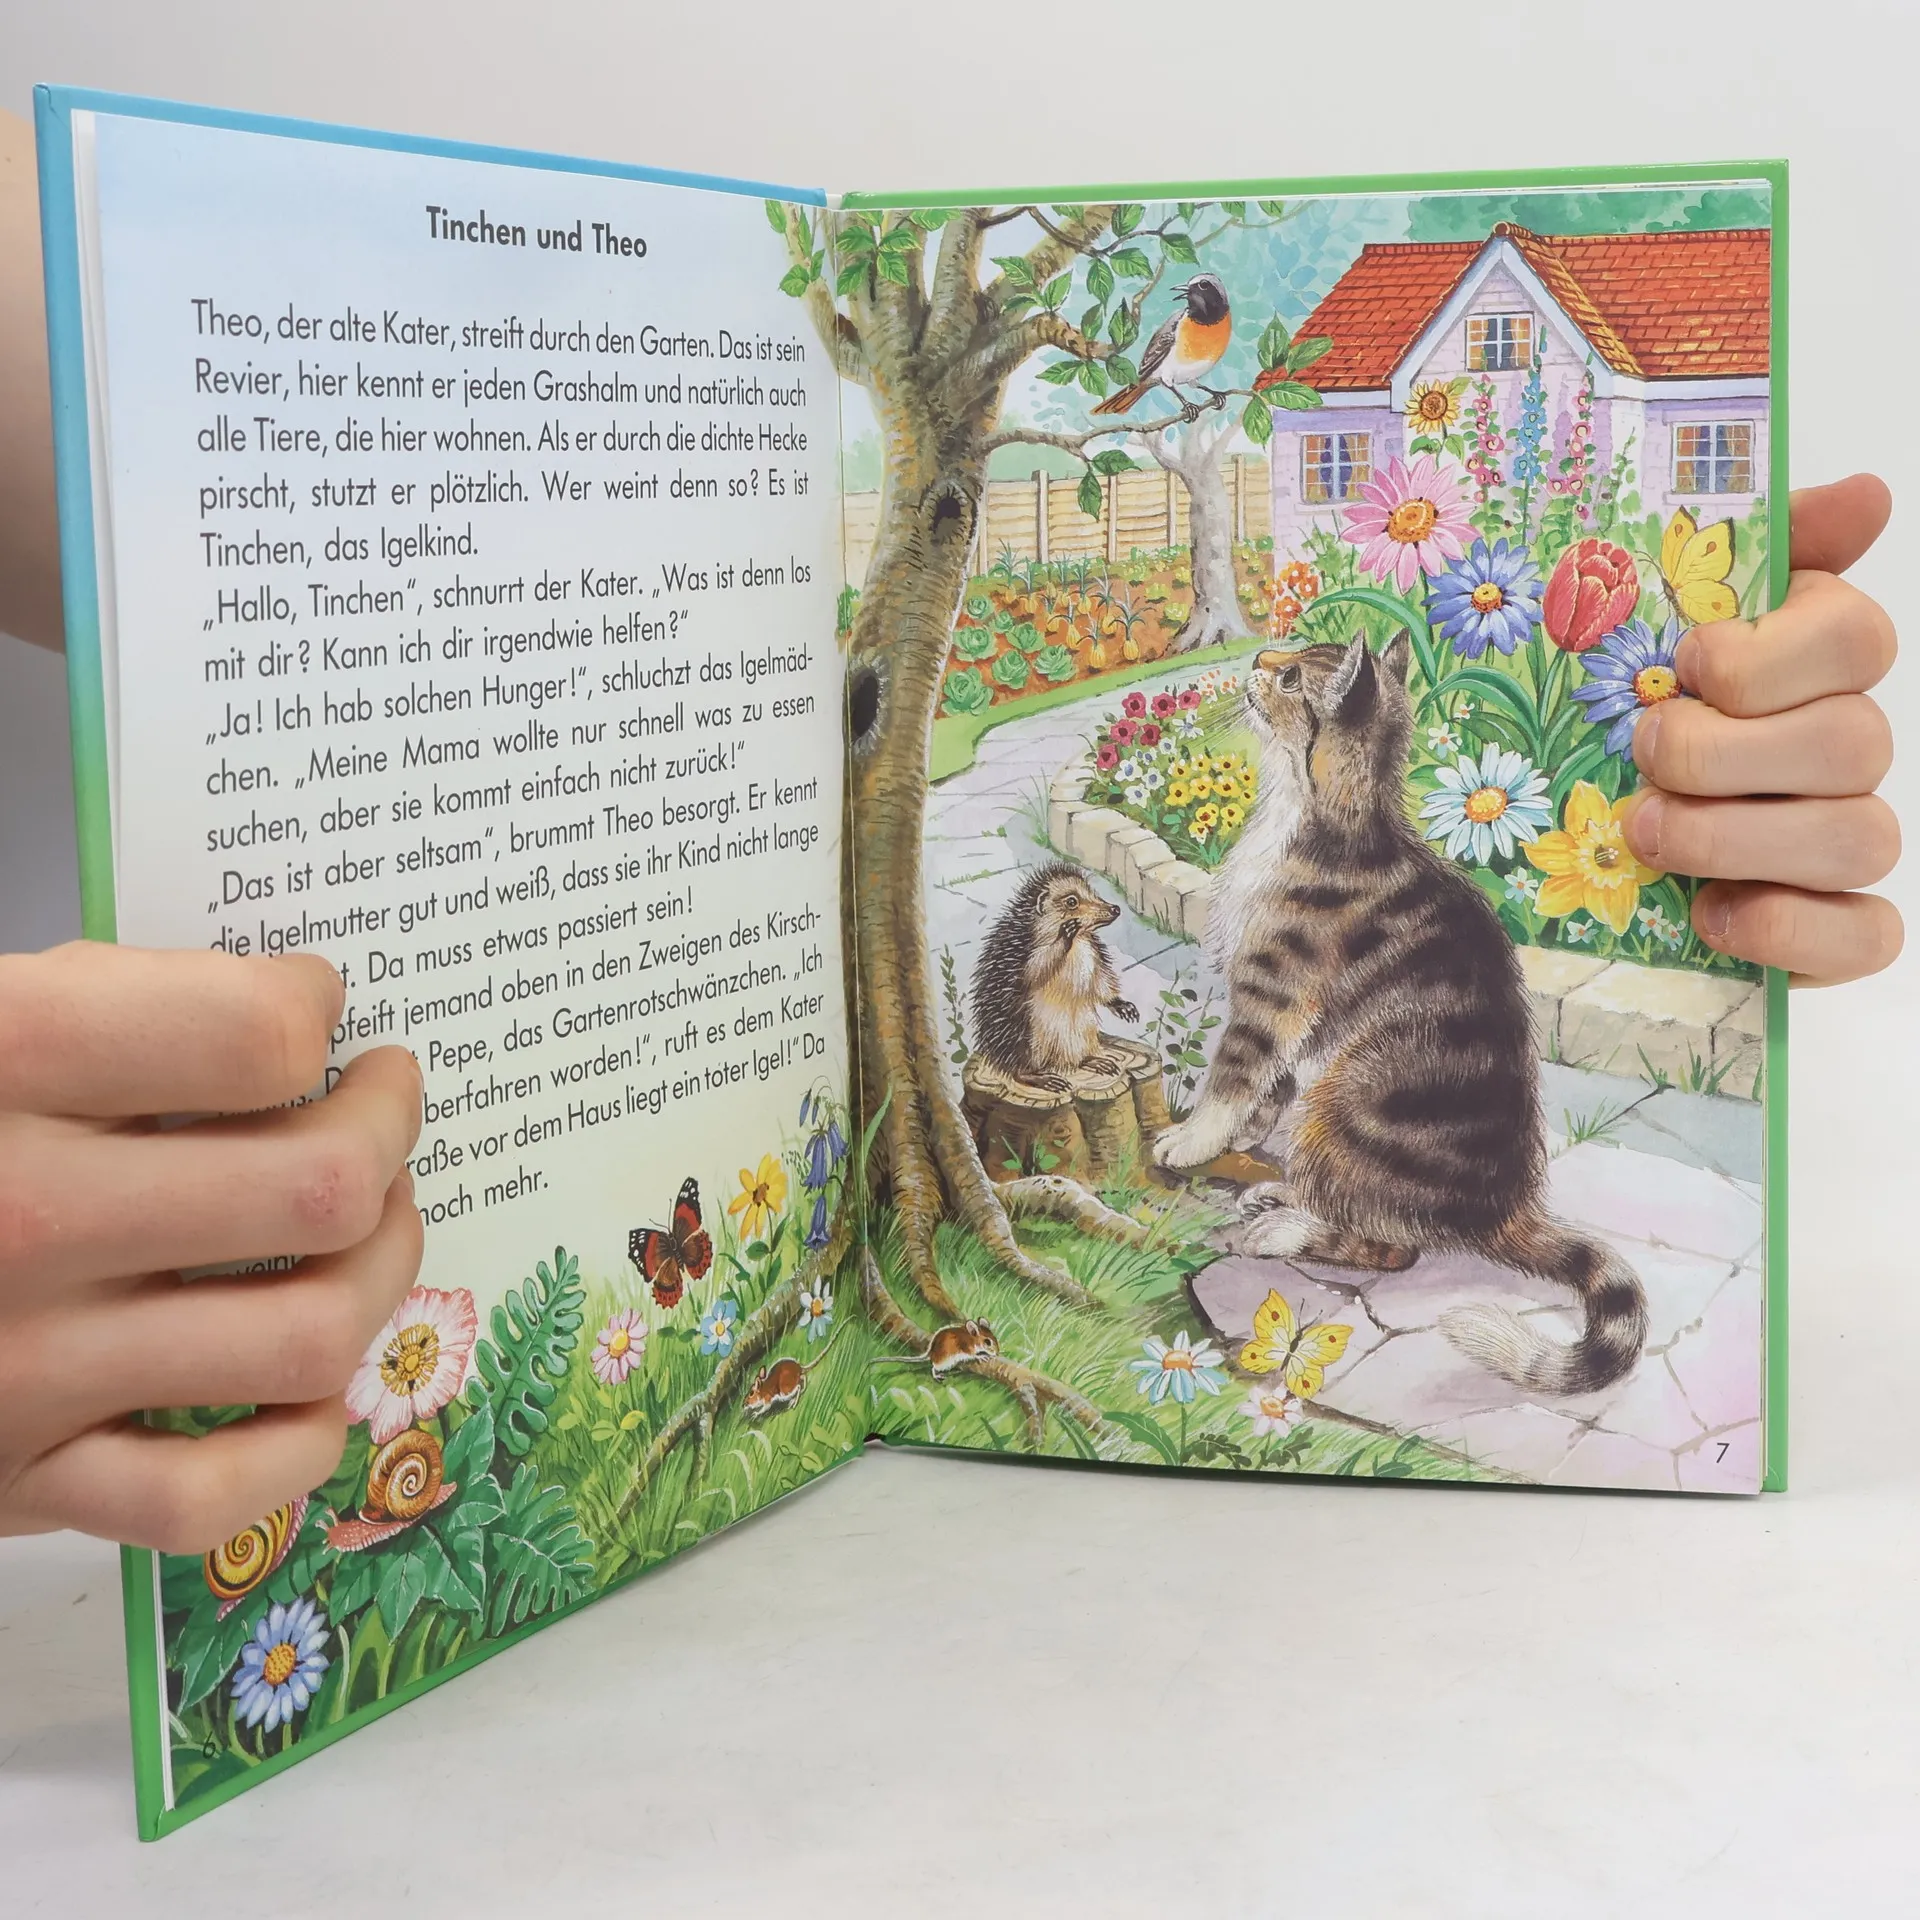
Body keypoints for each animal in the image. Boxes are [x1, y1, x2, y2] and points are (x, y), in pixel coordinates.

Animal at [971, 862, 1138, 1090]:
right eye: (1072, 901)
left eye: (1093, 893)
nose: (1115, 908)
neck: (1077, 943)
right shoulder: (1020, 953)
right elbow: (1033, 971)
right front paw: (1064, 936)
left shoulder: (1095, 953)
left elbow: (1101, 981)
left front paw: (1122, 1004)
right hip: (1024, 1034)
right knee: (1020, 1063)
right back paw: (1040, 1076)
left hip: (1083, 1029)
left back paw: (1092, 1060)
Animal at [1153, 632, 1647, 1396]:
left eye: (1291, 679)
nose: (1258, 661)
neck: (1308, 810)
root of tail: (1504, 1208)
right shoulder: (1297, 1019)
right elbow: (1270, 1083)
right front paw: (1248, 1137)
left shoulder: (1275, 990)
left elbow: (1234, 1074)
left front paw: (1194, 1140)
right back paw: (1279, 1195)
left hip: (1341, 1100)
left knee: (1390, 1249)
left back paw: (1285, 1226)